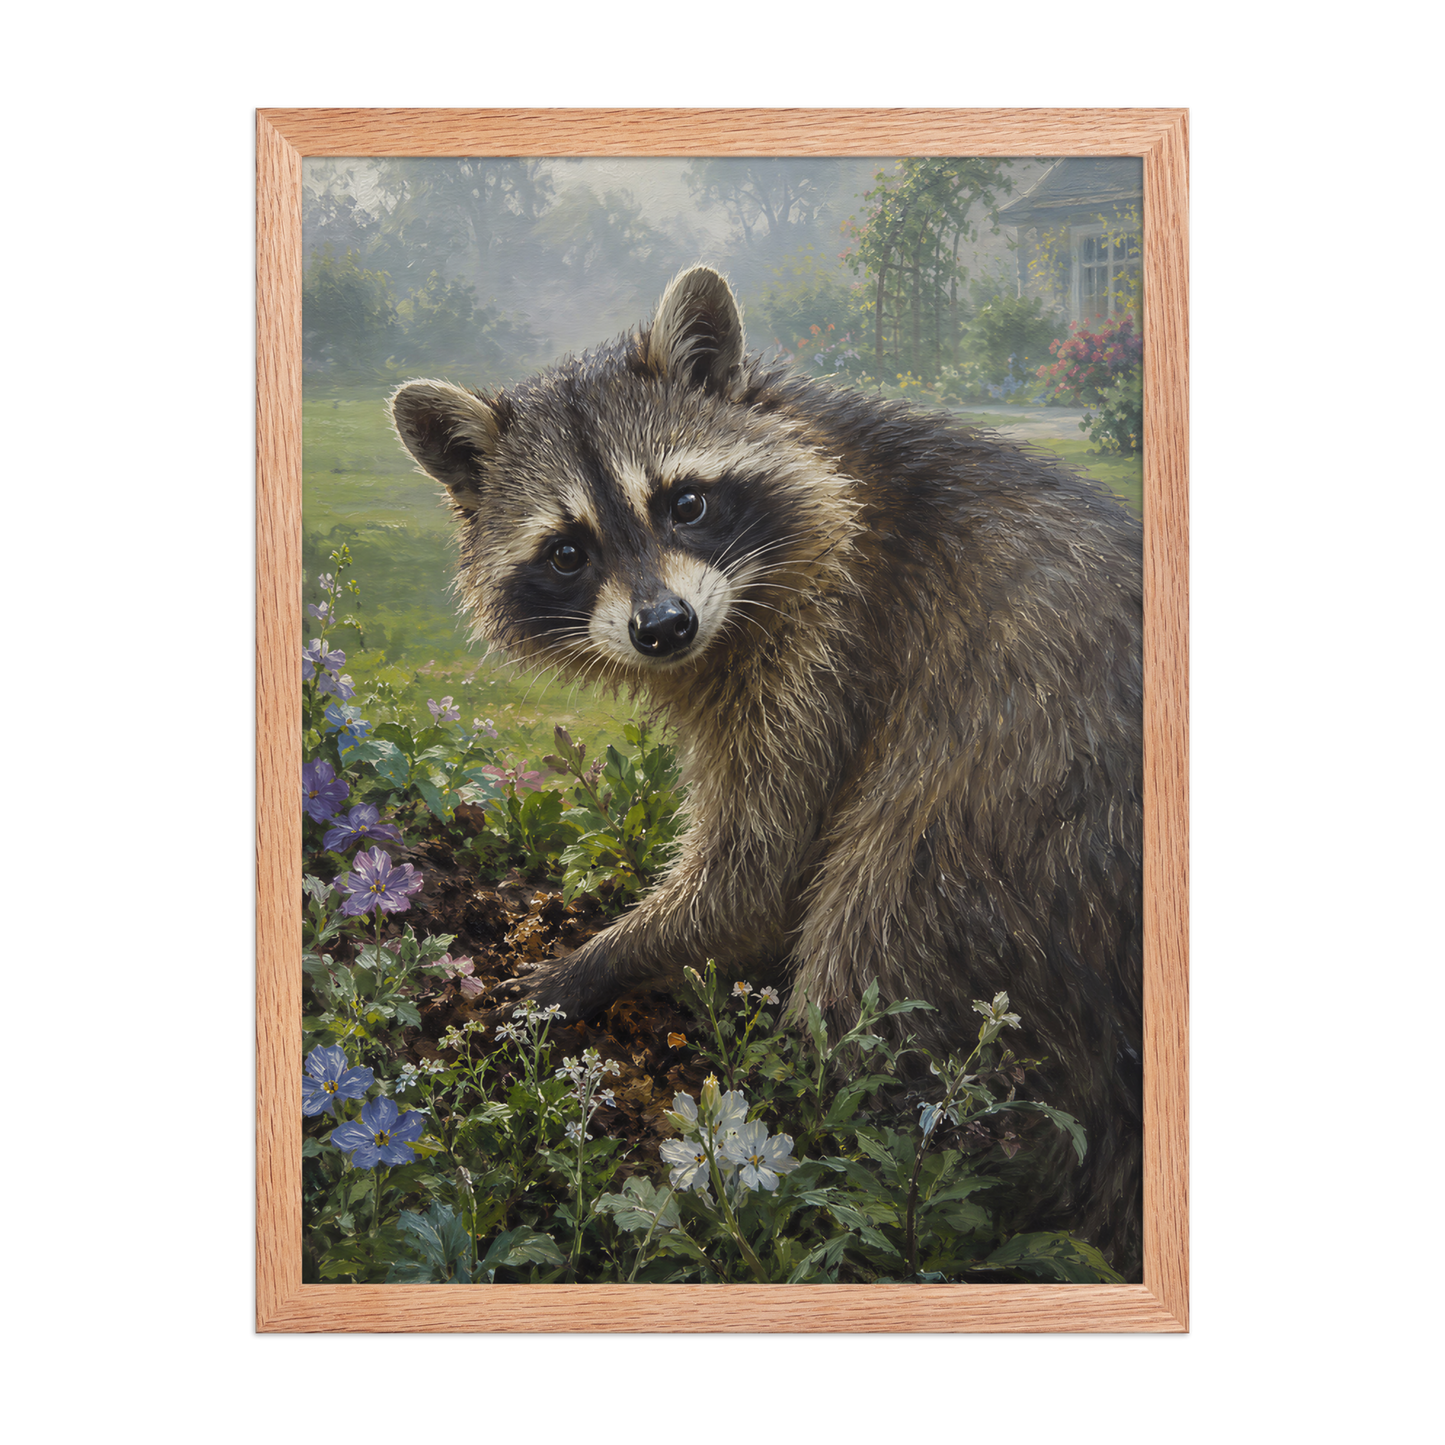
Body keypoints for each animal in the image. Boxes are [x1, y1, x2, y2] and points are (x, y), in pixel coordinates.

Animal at [390, 265, 1144, 1277]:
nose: (663, 627)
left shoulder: (832, 648)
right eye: (567, 550)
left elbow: (756, 874)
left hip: (1001, 840)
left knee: (873, 944)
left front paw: (596, 961)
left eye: (685, 503)